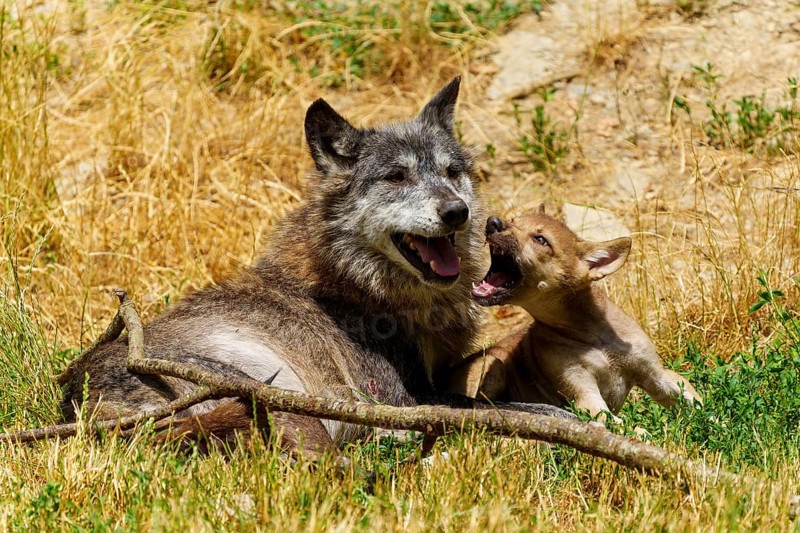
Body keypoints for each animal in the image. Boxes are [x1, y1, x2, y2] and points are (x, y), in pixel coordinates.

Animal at [60, 78, 570, 453]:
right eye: (396, 176)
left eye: (451, 172)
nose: (457, 212)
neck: (358, 282)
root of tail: (79, 406)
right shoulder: (406, 398)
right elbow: (516, 410)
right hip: (268, 394)